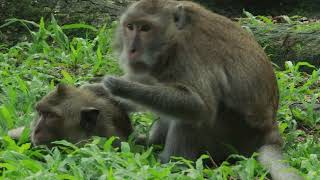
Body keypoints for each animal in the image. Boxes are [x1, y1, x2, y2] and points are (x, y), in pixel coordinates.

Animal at [92, 0, 302, 179]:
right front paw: (96, 89)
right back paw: (150, 144)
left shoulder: (189, 56)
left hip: (233, 136)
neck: (174, 41)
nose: (131, 50)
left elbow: (200, 106)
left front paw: (119, 87)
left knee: (194, 116)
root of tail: (270, 133)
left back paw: (172, 164)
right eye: (130, 27)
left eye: (145, 28)